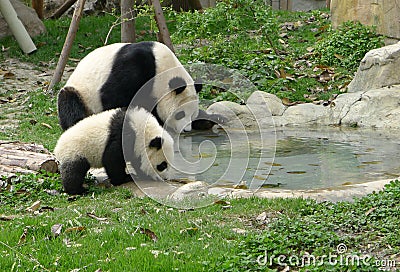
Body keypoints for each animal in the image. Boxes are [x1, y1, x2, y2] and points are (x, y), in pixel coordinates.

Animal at [57, 40, 222, 133]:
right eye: (180, 114)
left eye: (192, 115)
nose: (186, 130)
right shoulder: (134, 65)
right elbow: (113, 95)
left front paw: (208, 120)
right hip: (81, 93)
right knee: (70, 103)